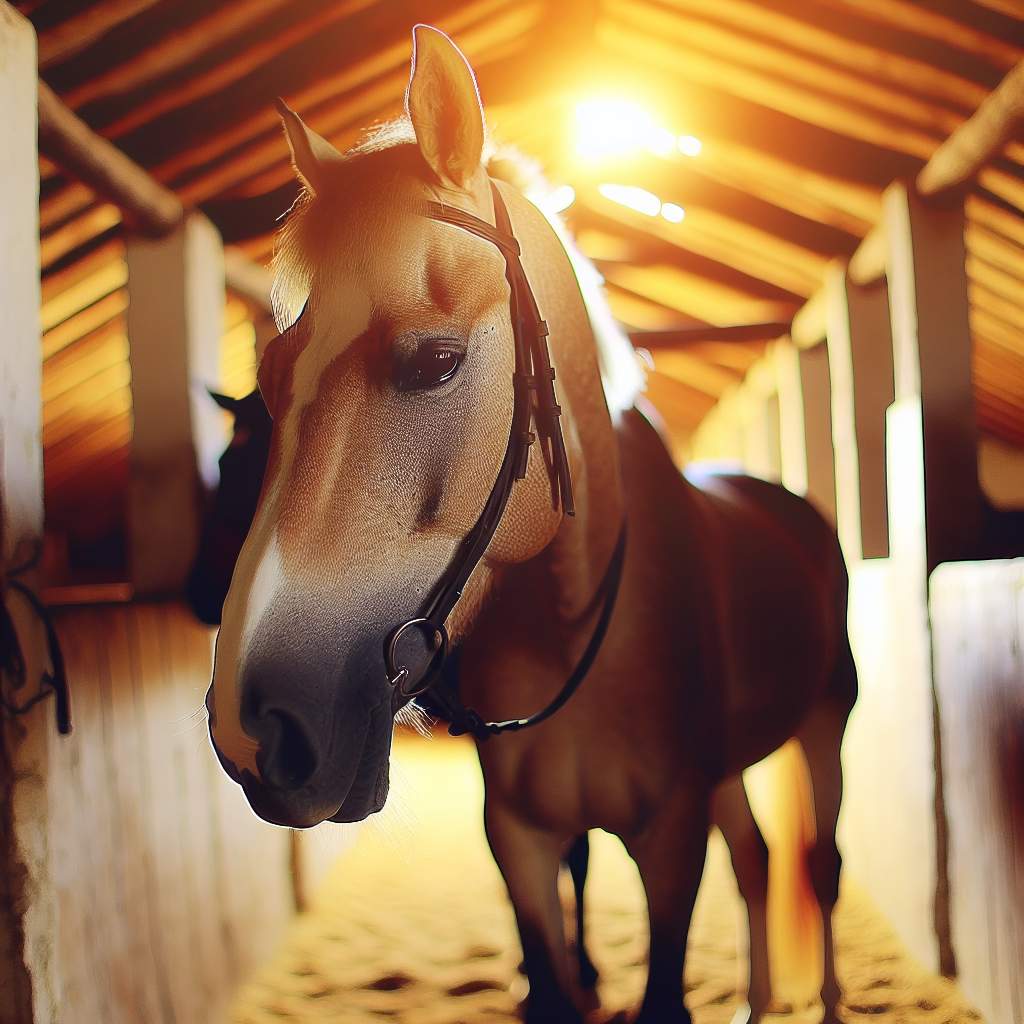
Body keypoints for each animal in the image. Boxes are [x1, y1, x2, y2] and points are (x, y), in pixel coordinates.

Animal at [205, 24, 856, 1024]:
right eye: (273, 379)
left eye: (435, 360)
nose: (253, 729)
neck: (574, 622)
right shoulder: (520, 841)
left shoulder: (671, 837)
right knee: (756, 860)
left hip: (825, 722)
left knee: (817, 864)